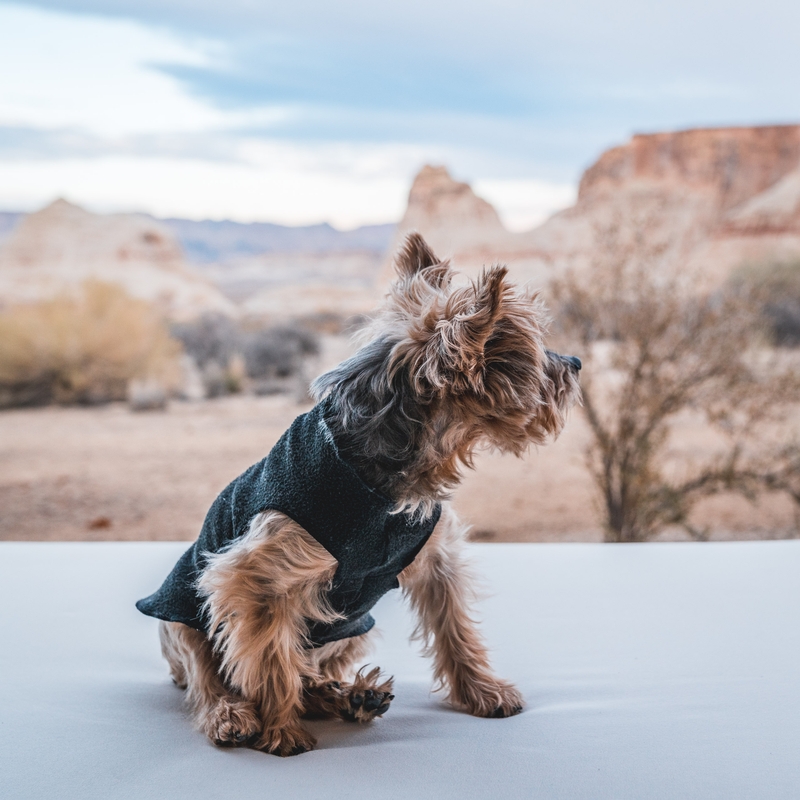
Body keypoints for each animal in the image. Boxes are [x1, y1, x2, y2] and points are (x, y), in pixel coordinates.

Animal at [134, 233, 580, 756]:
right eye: (531, 352)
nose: (575, 363)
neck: (381, 483)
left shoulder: (436, 558)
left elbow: (455, 628)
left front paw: (482, 691)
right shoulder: (250, 580)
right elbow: (268, 662)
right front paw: (281, 731)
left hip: (350, 629)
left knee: (309, 669)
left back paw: (347, 695)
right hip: (182, 620)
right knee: (211, 676)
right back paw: (232, 715)